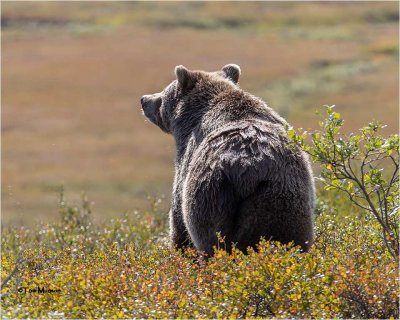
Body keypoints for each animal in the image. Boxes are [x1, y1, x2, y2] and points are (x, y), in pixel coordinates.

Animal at [141, 63, 316, 256]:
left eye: (163, 94)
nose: (144, 100)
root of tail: (248, 169)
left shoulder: (186, 159)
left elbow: (178, 217)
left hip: (211, 198)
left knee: (210, 239)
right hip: (281, 201)